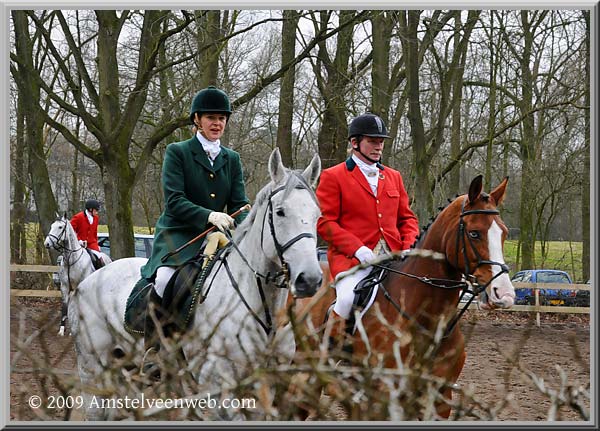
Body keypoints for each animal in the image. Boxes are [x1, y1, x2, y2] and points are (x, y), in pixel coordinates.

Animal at [69, 149, 324, 422]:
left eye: (317, 215)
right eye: (280, 212)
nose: (309, 279)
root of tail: (88, 281)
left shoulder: (266, 386)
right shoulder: (219, 388)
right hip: (93, 367)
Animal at [294, 175, 516, 418]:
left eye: (504, 232)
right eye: (474, 233)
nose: (504, 294)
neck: (426, 319)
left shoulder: (440, 398)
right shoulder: (386, 395)